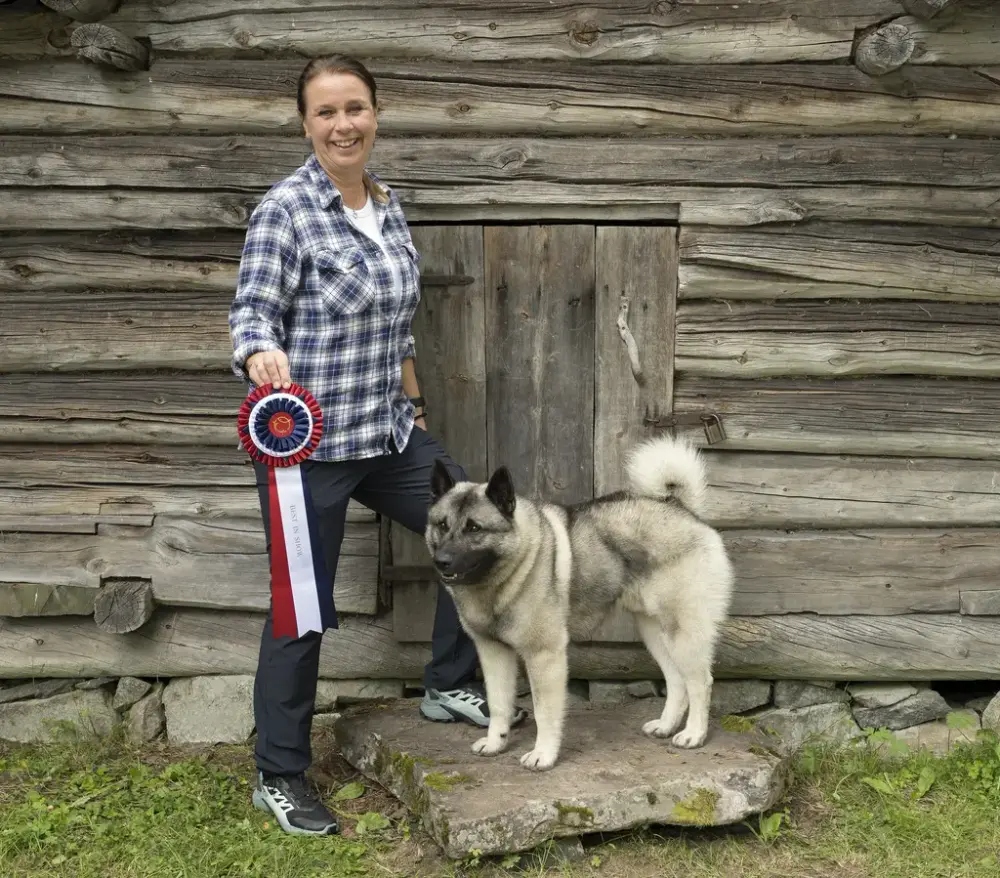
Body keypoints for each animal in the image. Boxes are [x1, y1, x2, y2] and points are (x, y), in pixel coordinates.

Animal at [428, 436, 736, 772]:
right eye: (441, 525)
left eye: (474, 528)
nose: (441, 561)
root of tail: (680, 508)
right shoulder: (494, 653)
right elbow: (499, 704)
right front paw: (497, 742)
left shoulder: (544, 656)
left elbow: (544, 712)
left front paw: (543, 754)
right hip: (655, 632)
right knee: (677, 680)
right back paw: (666, 726)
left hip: (683, 632)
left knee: (700, 682)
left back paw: (694, 734)